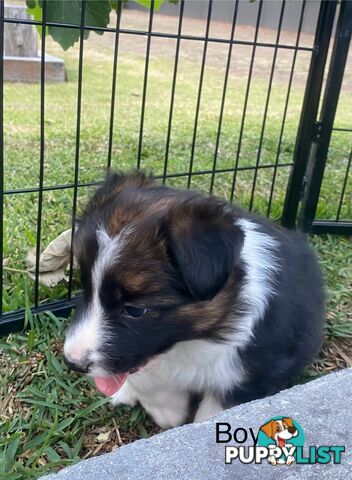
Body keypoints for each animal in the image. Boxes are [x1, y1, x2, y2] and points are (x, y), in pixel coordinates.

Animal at [64, 171, 324, 430]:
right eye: (86, 288)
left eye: (135, 311)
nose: (72, 362)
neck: (191, 340)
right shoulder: (141, 350)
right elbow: (146, 375)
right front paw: (168, 411)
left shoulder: (246, 374)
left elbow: (214, 414)